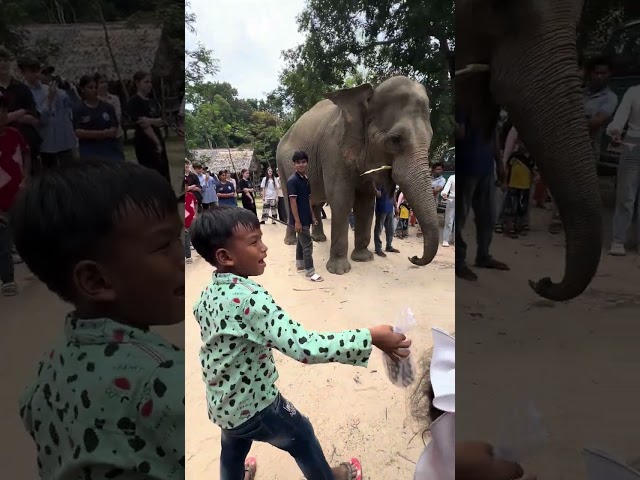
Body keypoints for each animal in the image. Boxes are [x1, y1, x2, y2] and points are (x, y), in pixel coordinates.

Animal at [276, 77, 440, 276]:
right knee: (289, 198)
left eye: (431, 138)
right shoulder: (333, 149)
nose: (414, 257)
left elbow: (365, 201)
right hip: (282, 165)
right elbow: (341, 199)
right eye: (395, 140)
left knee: (315, 201)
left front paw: (363, 258)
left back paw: (319, 239)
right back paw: (291, 242)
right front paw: (339, 271)